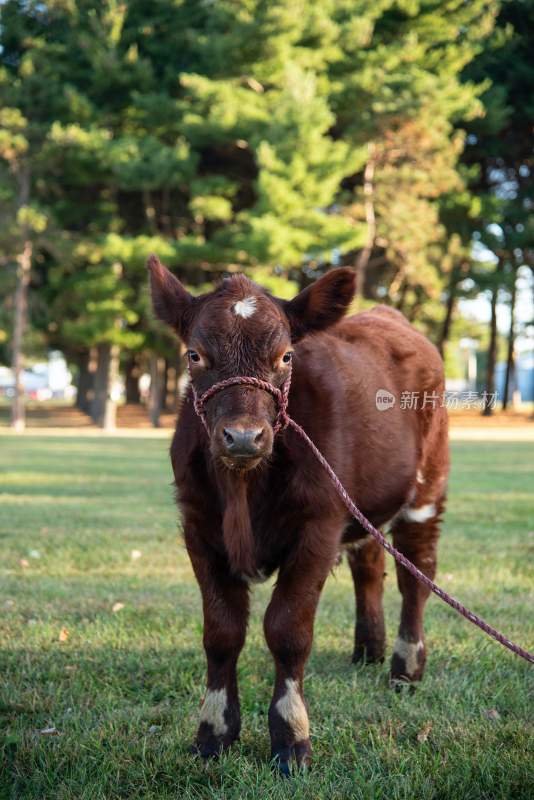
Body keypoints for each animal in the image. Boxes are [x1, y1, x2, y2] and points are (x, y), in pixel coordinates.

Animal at [148, 253, 452, 772]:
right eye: (195, 354)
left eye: (286, 356)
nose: (243, 437)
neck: (244, 489)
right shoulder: (197, 526)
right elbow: (221, 632)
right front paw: (213, 733)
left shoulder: (318, 524)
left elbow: (287, 629)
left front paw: (291, 737)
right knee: (369, 564)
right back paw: (367, 650)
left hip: (427, 487)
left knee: (416, 574)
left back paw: (405, 669)